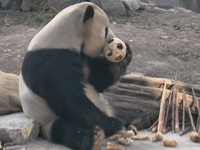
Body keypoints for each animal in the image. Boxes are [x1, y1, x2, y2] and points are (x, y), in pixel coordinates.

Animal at [18, 1, 131, 150]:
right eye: (105, 30)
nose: (113, 39)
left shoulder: (82, 58)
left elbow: (98, 81)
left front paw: (125, 55)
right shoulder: (52, 62)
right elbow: (69, 99)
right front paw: (113, 124)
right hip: (45, 118)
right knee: (65, 129)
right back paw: (94, 138)